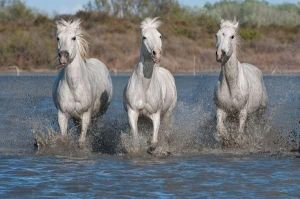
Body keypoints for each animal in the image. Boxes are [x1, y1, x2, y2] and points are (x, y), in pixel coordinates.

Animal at [123, 17, 177, 153]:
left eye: (160, 35)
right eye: (144, 37)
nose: (156, 54)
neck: (144, 88)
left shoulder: (156, 114)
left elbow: (154, 140)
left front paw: (151, 147)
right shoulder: (133, 112)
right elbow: (135, 138)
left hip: (167, 114)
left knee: (165, 132)